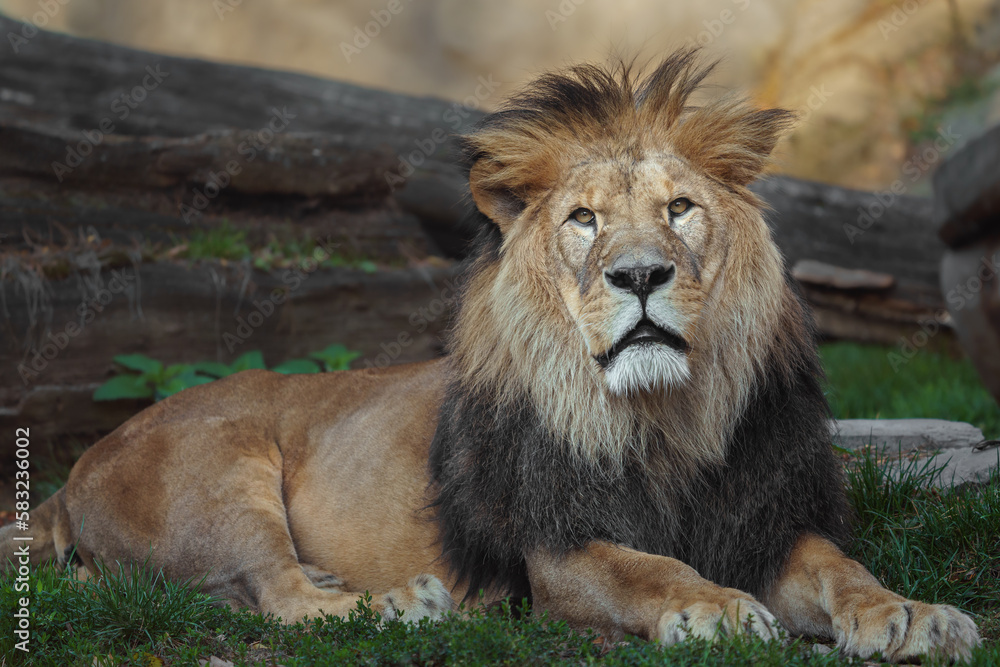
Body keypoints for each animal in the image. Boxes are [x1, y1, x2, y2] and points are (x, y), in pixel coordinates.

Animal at [2, 50, 981, 662]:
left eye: (680, 208)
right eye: (583, 219)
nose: (640, 274)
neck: (664, 417)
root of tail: (69, 475)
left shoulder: (765, 518)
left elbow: (844, 570)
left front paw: (912, 614)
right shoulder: (557, 545)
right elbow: (648, 567)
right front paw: (714, 606)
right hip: (224, 465)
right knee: (278, 595)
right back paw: (401, 603)